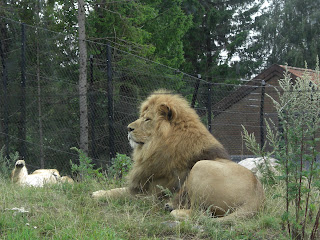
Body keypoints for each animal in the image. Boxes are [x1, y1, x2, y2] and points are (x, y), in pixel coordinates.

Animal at [91, 89, 264, 220]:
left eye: (147, 119)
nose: (128, 128)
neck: (154, 147)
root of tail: (256, 197)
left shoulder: (150, 194)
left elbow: (119, 193)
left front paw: (98, 195)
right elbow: (117, 188)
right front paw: (99, 192)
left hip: (201, 167)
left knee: (200, 213)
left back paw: (175, 210)